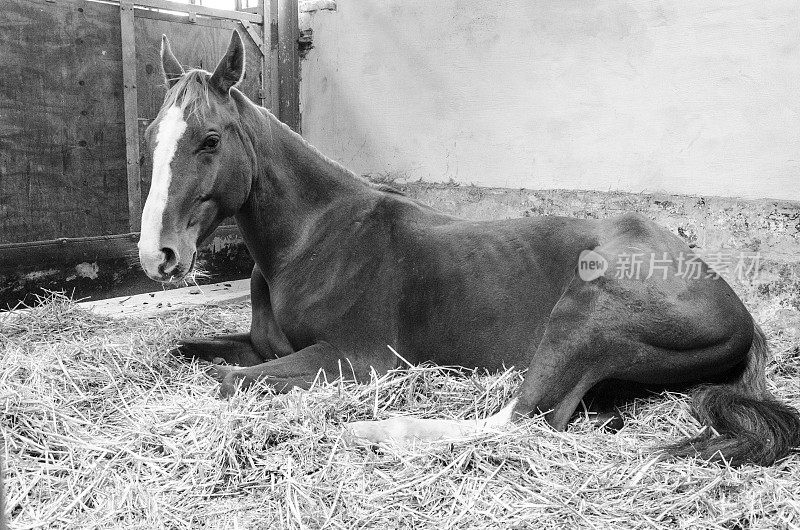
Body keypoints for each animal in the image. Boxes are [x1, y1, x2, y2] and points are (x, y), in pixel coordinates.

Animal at [139, 31, 800, 464]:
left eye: (210, 138)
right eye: (151, 136)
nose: (156, 256)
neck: (314, 239)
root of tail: (738, 310)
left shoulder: (357, 357)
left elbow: (228, 381)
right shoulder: (265, 345)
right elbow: (184, 352)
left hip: (585, 317)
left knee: (522, 418)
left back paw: (376, 432)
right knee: (566, 414)